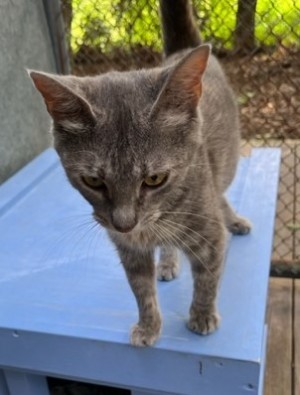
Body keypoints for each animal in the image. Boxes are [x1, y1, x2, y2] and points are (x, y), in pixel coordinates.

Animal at [29, 0, 250, 346]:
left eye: (155, 179)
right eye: (93, 180)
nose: (124, 224)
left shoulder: (209, 233)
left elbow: (208, 277)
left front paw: (201, 316)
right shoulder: (130, 250)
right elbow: (141, 290)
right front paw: (148, 326)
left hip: (227, 164)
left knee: (221, 192)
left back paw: (234, 220)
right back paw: (168, 261)